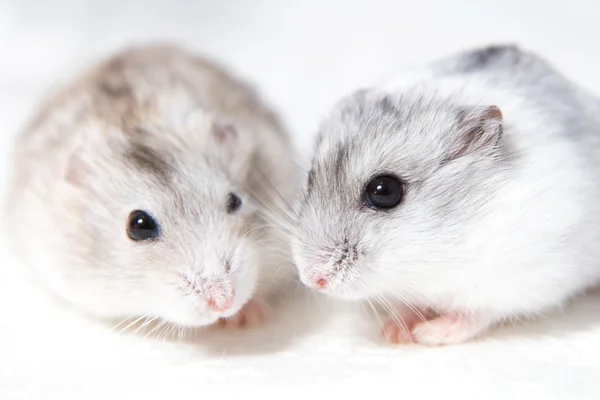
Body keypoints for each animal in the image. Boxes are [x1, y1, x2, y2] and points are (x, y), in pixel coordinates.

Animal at [292, 43, 600, 344]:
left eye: (384, 191)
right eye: (309, 179)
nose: (313, 280)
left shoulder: (516, 279)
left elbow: (475, 314)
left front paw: (428, 334)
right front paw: (393, 332)